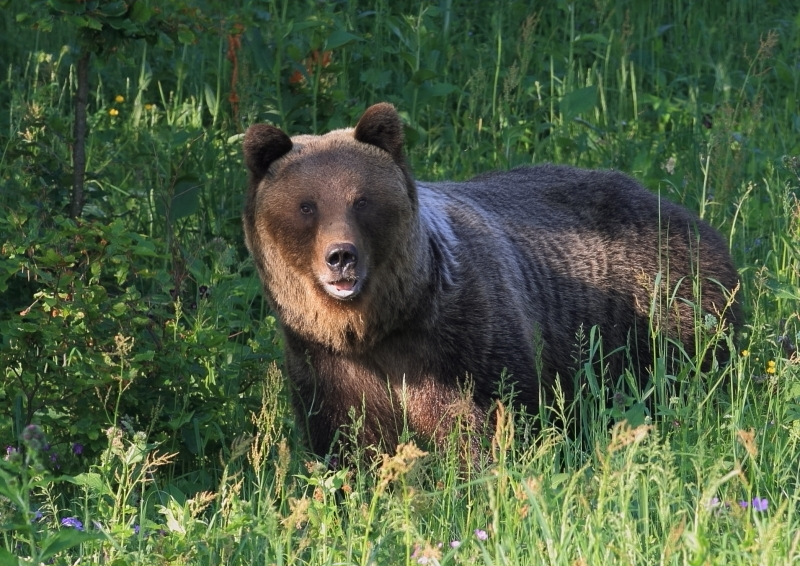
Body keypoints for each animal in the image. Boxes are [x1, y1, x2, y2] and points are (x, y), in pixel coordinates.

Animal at [241, 103, 740, 462]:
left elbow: (479, 428)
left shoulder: (462, 347)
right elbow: (342, 447)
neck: (378, 327)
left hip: (665, 313)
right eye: (307, 206)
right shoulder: (326, 366)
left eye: (361, 200)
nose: (341, 257)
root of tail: (683, 212)